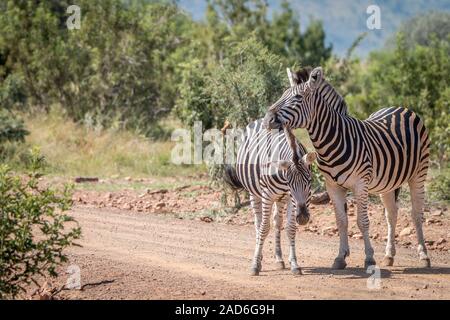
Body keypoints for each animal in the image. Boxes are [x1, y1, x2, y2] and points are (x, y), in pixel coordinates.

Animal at [222, 119, 314, 276]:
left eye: (309, 181)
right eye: (290, 184)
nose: (302, 218)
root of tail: (258, 120)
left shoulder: (290, 199)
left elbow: (290, 228)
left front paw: (294, 264)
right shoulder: (268, 195)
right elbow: (264, 228)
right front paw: (255, 265)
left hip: (281, 198)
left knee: (277, 222)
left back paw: (279, 259)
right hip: (255, 194)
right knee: (258, 224)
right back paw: (259, 256)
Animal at [264, 66, 432, 268]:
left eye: (298, 97)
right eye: (282, 95)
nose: (267, 119)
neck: (333, 142)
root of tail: (400, 107)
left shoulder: (360, 184)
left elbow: (362, 221)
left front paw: (369, 258)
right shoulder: (333, 186)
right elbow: (341, 221)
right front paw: (340, 258)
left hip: (419, 173)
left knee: (416, 213)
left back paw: (423, 256)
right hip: (388, 183)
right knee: (391, 213)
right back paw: (389, 255)